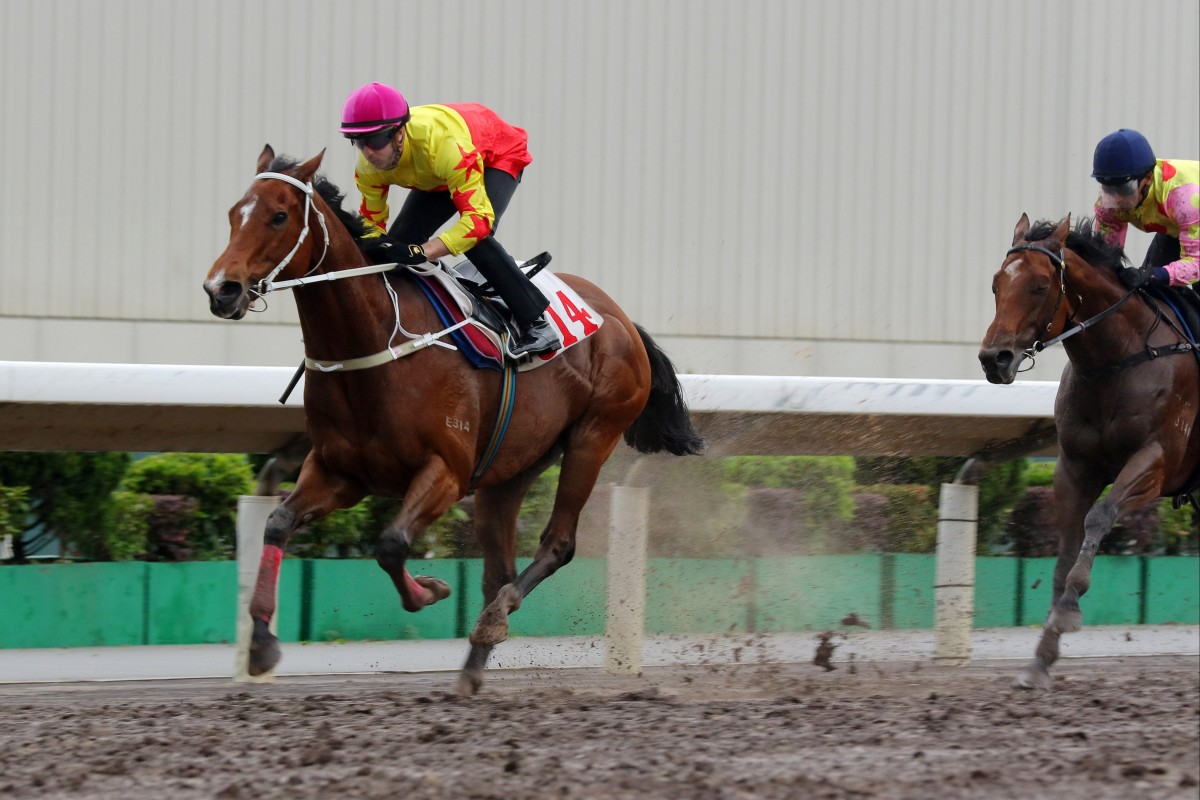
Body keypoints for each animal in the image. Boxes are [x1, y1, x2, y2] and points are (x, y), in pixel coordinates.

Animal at [200, 148, 700, 695]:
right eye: (233, 214)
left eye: (278, 216)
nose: (221, 290)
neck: (373, 342)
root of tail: (621, 319)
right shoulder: (340, 472)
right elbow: (277, 523)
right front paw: (262, 642)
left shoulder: (446, 471)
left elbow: (391, 545)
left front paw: (432, 589)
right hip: (511, 468)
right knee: (498, 568)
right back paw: (474, 663)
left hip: (594, 436)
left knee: (558, 544)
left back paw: (494, 620)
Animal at [979, 212, 1195, 690]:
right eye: (996, 284)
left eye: (1040, 286)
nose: (993, 359)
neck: (1118, 361)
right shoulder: (1075, 466)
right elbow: (1066, 548)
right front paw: (1040, 659)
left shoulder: (1157, 460)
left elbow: (1099, 517)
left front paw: (1068, 612)